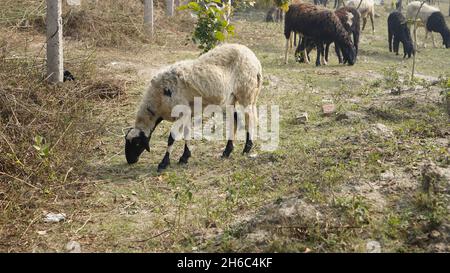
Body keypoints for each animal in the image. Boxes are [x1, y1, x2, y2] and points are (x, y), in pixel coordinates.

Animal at [125, 43, 262, 171]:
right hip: (230, 98)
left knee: (249, 118)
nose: (130, 161)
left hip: (247, 91)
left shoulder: (181, 112)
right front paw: (185, 157)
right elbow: (187, 133)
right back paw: (227, 151)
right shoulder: (187, 113)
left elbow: (171, 137)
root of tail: (255, 60)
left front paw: (164, 163)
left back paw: (247, 148)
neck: (158, 99)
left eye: (137, 144)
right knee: (234, 120)